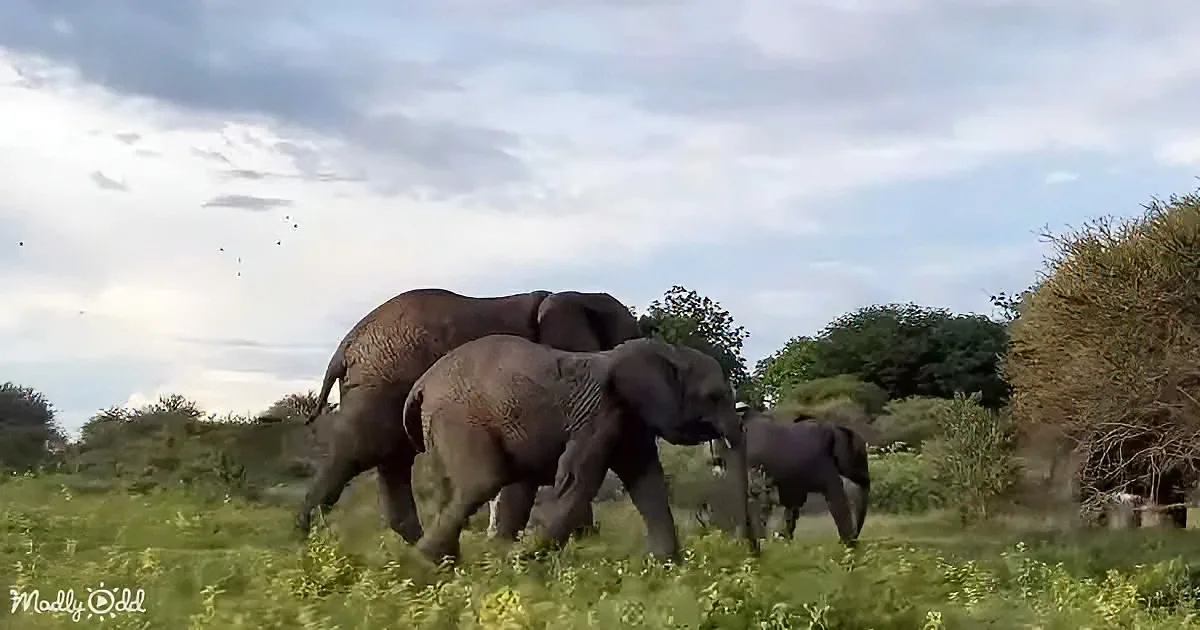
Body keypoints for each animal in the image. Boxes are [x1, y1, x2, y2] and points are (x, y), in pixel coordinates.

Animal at [401, 334, 758, 564]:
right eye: (714, 397)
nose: (753, 555)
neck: (667, 352)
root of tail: (421, 384)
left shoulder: (631, 421)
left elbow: (648, 482)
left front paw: (667, 569)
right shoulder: (600, 414)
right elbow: (579, 480)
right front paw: (525, 559)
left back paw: (453, 566)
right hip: (459, 418)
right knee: (484, 481)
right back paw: (423, 562)